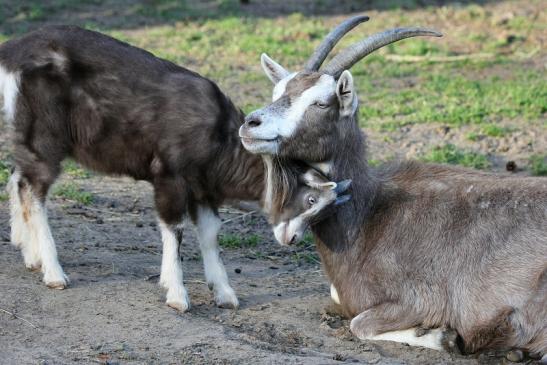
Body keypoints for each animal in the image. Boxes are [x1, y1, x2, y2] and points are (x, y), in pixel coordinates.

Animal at [0, 24, 266, 310]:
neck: (221, 139)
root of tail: (12, 51)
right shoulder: (169, 175)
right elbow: (175, 228)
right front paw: (176, 294)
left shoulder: (203, 187)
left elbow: (210, 232)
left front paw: (225, 294)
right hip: (43, 133)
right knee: (32, 189)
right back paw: (53, 273)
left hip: (27, 134)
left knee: (17, 178)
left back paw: (30, 254)